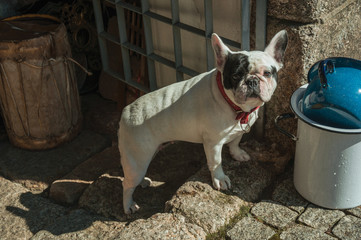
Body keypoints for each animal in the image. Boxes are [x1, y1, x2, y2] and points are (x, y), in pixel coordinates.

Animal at [117, 30, 286, 214]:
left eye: (267, 73)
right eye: (235, 76)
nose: (252, 81)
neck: (234, 105)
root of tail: (126, 112)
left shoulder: (238, 131)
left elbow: (235, 142)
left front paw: (238, 154)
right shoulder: (213, 143)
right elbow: (216, 162)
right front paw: (220, 179)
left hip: (147, 154)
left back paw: (142, 183)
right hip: (138, 156)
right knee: (126, 184)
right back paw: (128, 205)